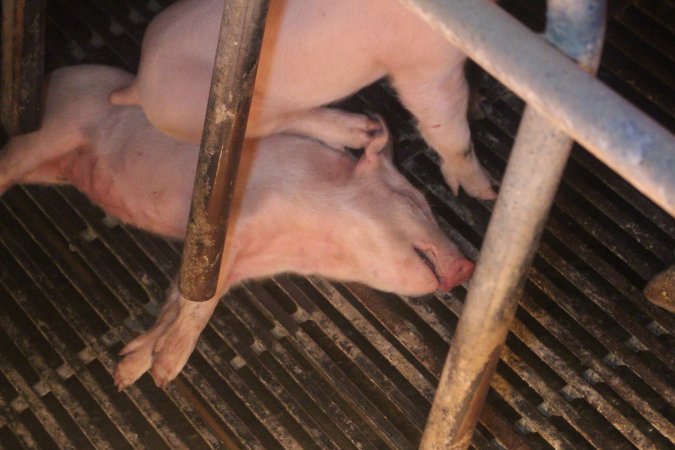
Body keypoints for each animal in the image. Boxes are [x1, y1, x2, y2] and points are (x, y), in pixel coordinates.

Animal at [0, 65, 476, 388]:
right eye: (414, 201)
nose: (468, 267)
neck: (299, 242)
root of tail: (55, 75)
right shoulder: (229, 227)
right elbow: (197, 304)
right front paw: (160, 372)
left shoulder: (242, 265)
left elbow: (183, 300)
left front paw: (135, 371)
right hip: (50, 132)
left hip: (52, 166)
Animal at [111, 0, 500, 199]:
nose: (491, 192)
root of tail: (140, 82)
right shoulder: (425, 62)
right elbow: (445, 127)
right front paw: (486, 193)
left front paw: (479, 104)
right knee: (286, 122)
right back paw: (365, 131)